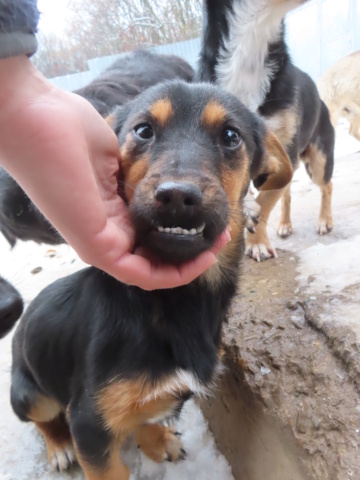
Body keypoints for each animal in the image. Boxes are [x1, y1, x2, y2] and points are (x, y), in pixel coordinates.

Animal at [9, 80, 292, 478]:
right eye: (143, 131)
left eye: (231, 136)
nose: (177, 196)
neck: (176, 302)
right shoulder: (88, 423)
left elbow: (148, 417)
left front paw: (157, 442)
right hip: (28, 393)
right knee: (43, 418)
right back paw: (59, 445)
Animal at [197, 0, 334, 262]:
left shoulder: (282, 156)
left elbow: (267, 198)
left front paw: (257, 241)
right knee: (288, 194)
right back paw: (285, 224)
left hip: (319, 161)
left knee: (326, 186)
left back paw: (325, 220)